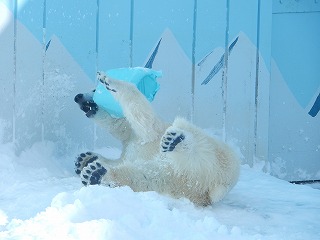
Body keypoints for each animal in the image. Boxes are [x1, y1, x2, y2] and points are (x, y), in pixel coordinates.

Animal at [74, 72, 240, 205]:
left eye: (94, 89)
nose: (78, 97)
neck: (131, 140)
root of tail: (218, 185)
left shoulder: (147, 133)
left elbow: (144, 119)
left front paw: (108, 80)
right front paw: (84, 159)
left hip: (217, 155)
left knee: (196, 141)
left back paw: (176, 140)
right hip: (181, 178)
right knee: (146, 175)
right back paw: (95, 174)